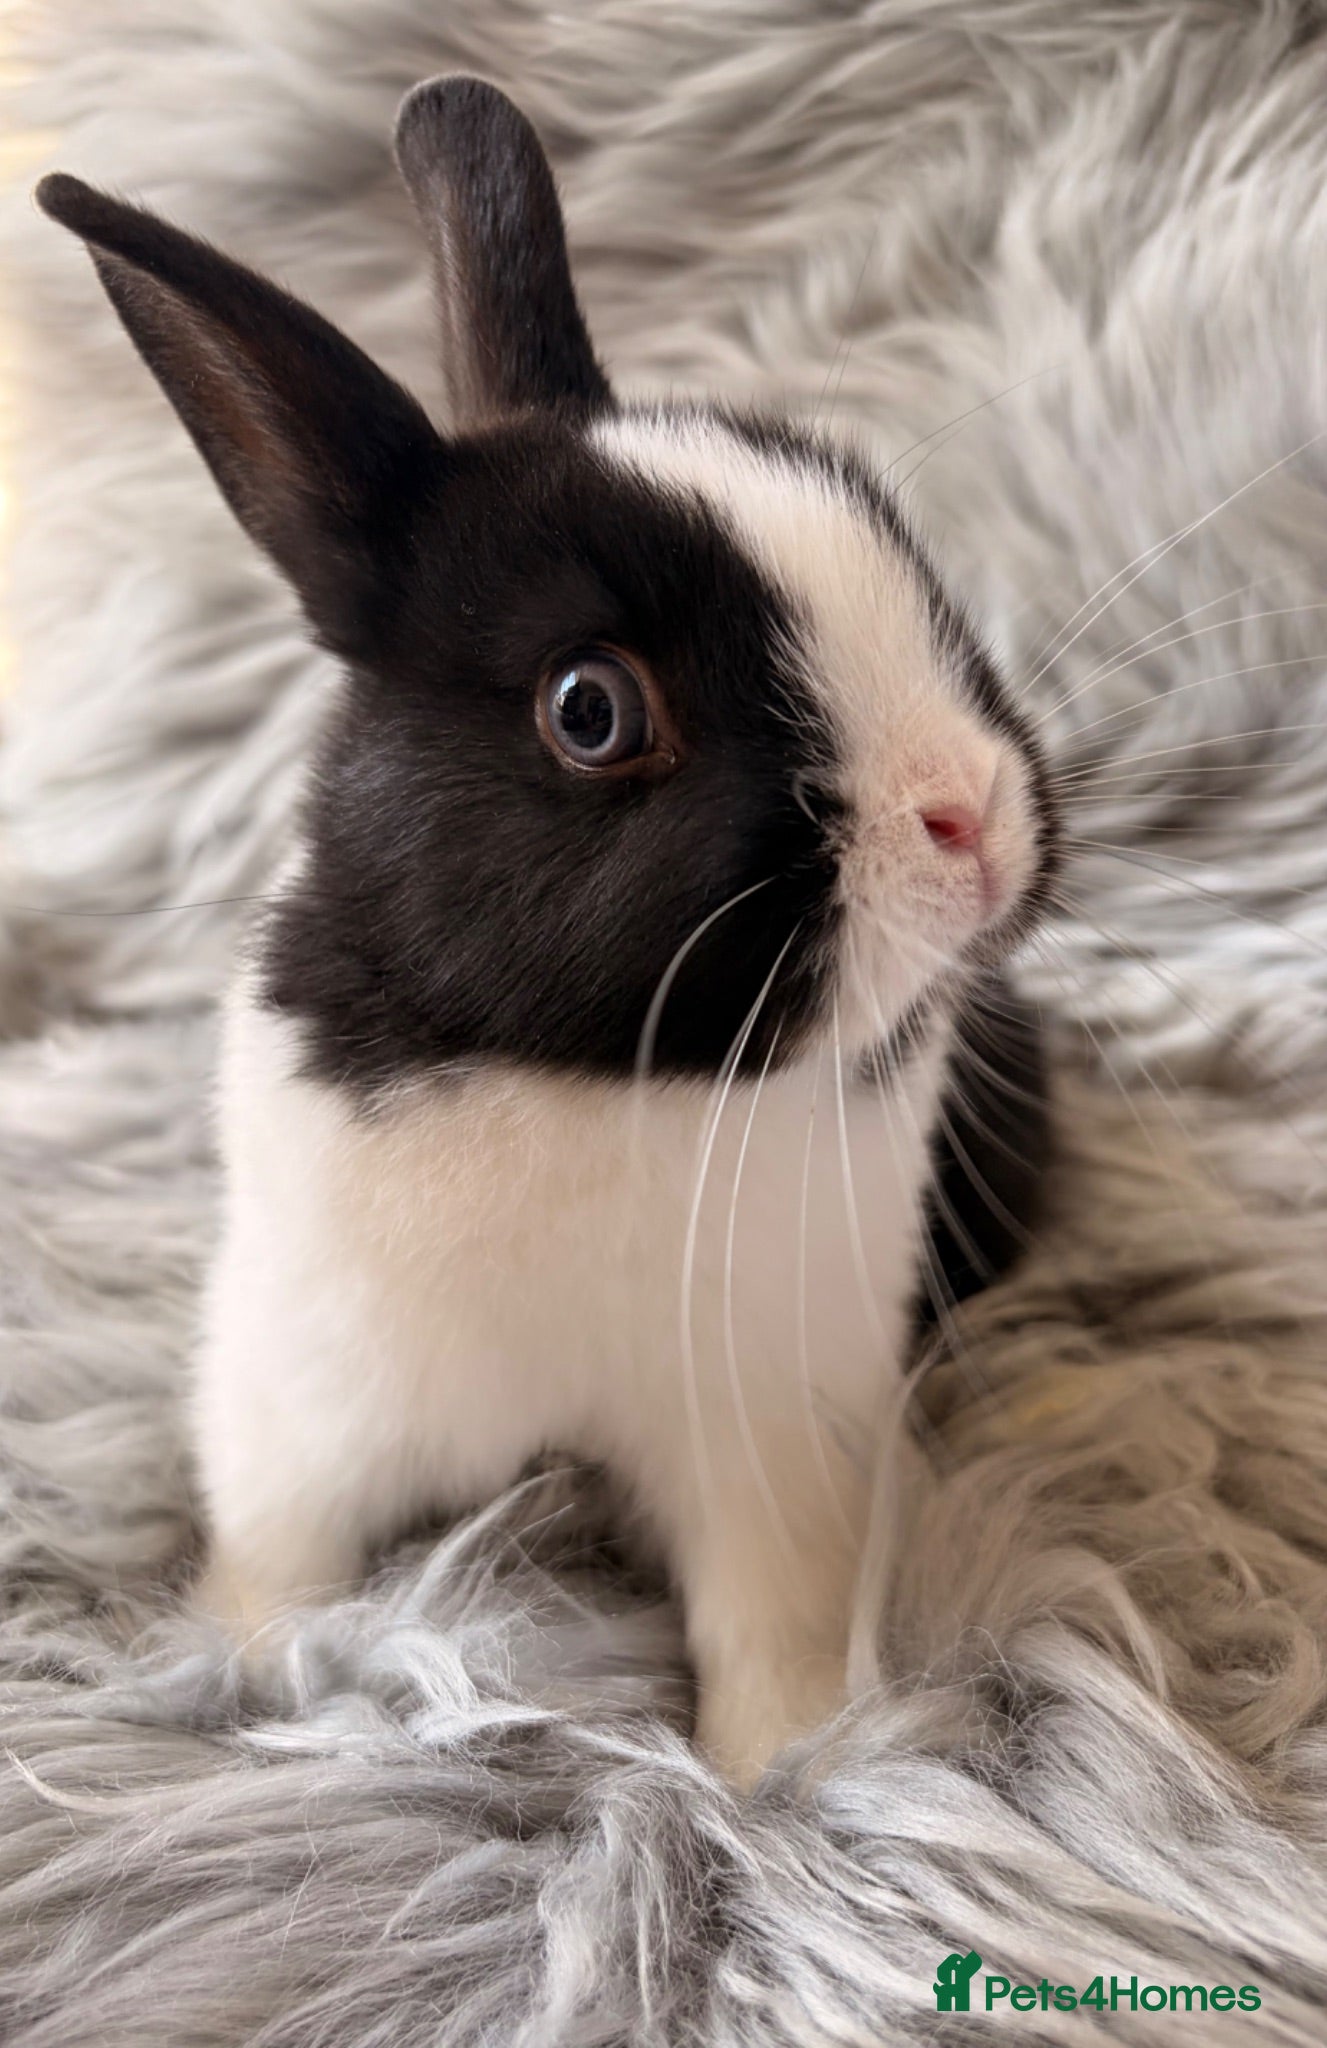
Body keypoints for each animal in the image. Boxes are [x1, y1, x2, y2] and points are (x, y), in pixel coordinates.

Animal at [37, 74, 1058, 1785]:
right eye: (591, 710)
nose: (970, 816)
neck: (601, 1077)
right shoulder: (299, 1402)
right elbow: (279, 1567)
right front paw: (242, 1684)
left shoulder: (777, 1436)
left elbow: (769, 1629)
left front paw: (772, 1781)